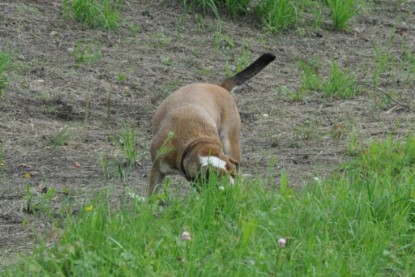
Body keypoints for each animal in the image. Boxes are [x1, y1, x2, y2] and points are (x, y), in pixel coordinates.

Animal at [147, 52, 276, 195]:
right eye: (217, 179)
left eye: (233, 174)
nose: (232, 189)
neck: (194, 143)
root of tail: (221, 87)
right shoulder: (157, 169)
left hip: (230, 142)